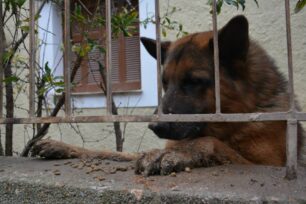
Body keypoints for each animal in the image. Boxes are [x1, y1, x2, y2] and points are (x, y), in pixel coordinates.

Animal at [32, 15, 304, 177]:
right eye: (164, 83)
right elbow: (111, 152)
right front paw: (63, 147)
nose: (154, 126)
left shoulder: (268, 164)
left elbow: (212, 142)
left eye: (194, 82)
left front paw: (177, 153)